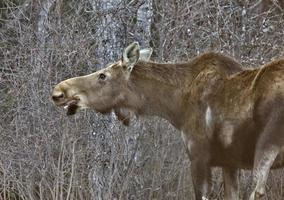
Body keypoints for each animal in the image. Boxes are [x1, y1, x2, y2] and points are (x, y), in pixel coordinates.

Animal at [52, 41, 284, 199]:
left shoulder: (199, 156)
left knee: (257, 190)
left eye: (103, 75)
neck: (176, 108)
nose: (59, 91)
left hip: (267, 144)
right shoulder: (230, 162)